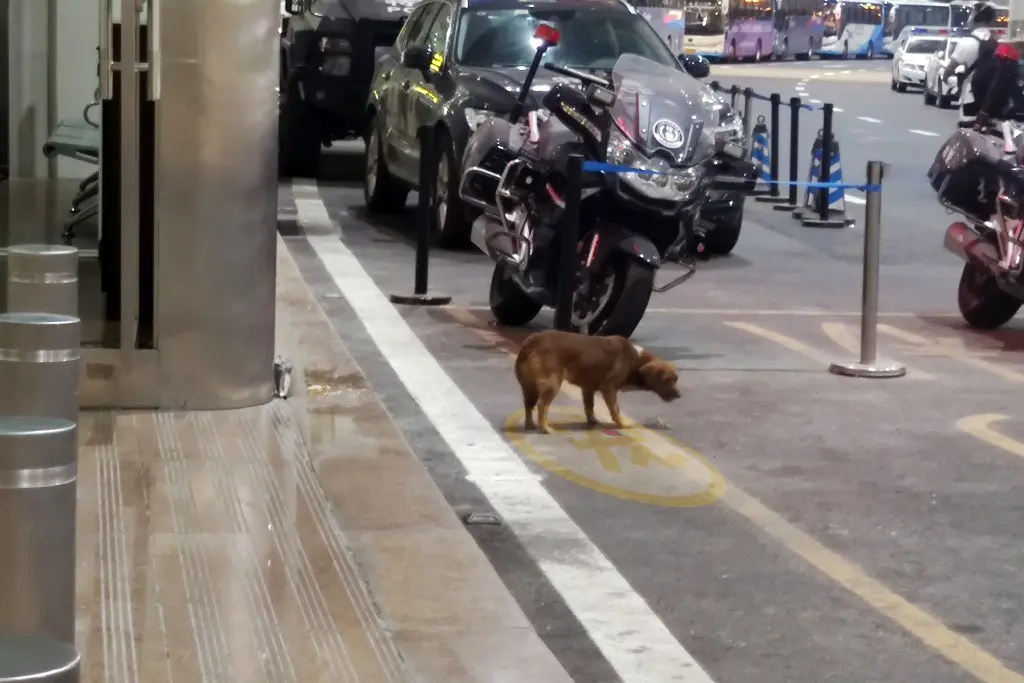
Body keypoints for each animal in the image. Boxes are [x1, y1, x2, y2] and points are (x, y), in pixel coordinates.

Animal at [512, 329, 679, 432]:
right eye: (667, 380)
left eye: (676, 379)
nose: (679, 395)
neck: (636, 360)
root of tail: (533, 340)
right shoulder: (609, 389)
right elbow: (615, 410)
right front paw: (622, 424)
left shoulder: (588, 388)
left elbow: (589, 407)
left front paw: (592, 421)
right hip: (552, 383)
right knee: (542, 406)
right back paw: (544, 428)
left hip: (530, 387)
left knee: (528, 405)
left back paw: (530, 425)